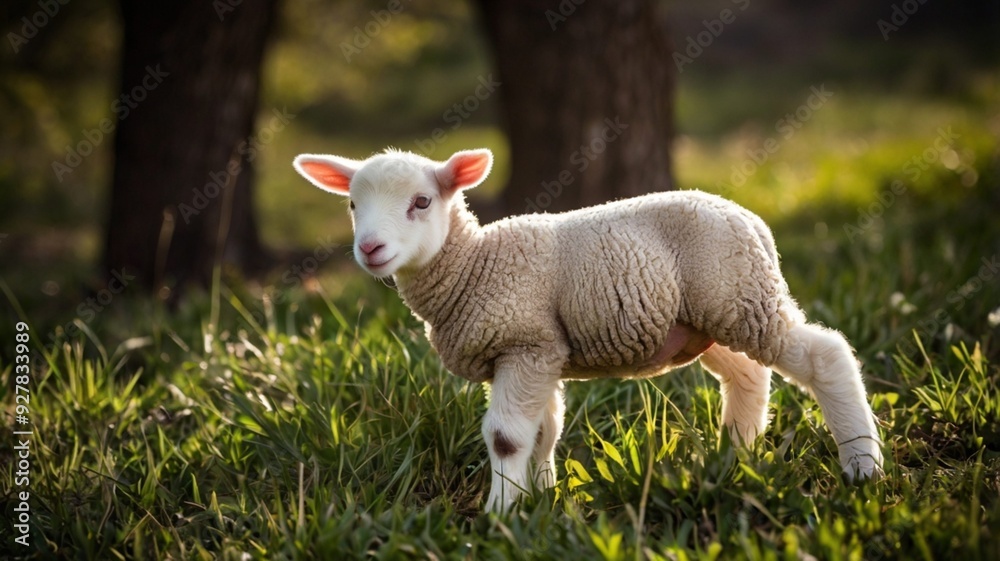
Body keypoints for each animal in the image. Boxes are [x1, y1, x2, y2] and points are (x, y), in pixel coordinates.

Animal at [292, 147, 885, 512]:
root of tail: (754, 221)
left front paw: (498, 514)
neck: (473, 264)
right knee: (747, 376)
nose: (370, 249)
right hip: (710, 318)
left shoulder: (523, 343)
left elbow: (506, 436)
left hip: (739, 297)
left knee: (827, 355)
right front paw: (540, 499)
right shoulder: (542, 352)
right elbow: (544, 432)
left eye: (420, 202)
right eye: (352, 204)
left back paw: (862, 466)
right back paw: (734, 455)